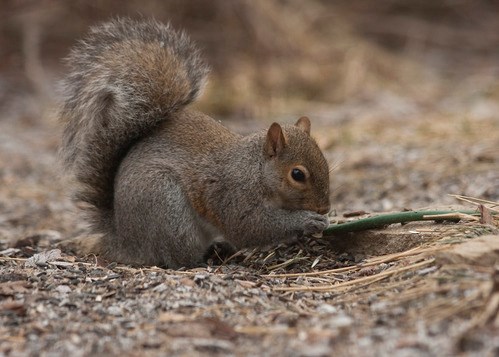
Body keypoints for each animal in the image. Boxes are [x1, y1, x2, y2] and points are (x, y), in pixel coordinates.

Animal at [58, 17, 332, 268]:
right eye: (297, 174)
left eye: (326, 165)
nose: (325, 208)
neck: (256, 171)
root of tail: (124, 240)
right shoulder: (233, 196)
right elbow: (251, 227)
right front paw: (307, 221)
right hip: (166, 205)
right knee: (177, 257)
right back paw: (205, 259)